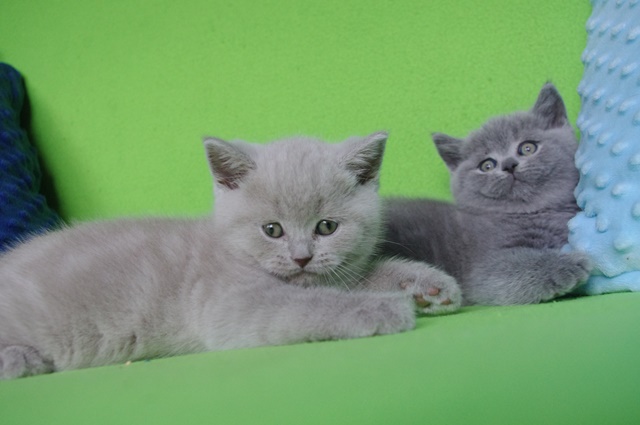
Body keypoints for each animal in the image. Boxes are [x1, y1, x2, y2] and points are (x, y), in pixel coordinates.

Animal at [0, 131, 461, 379]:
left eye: (326, 227)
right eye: (272, 230)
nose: (301, 258)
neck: (229, 248)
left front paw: (429, 286)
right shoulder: (231, 300)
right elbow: (311, 305)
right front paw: (384, 309)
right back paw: (21, 360)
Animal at [382, 83, 591, 306]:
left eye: (527, 148)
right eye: (487, 165)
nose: (509, 165)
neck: (532, 213)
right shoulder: (485, 266)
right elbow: (520, 266)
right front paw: (568, 265)